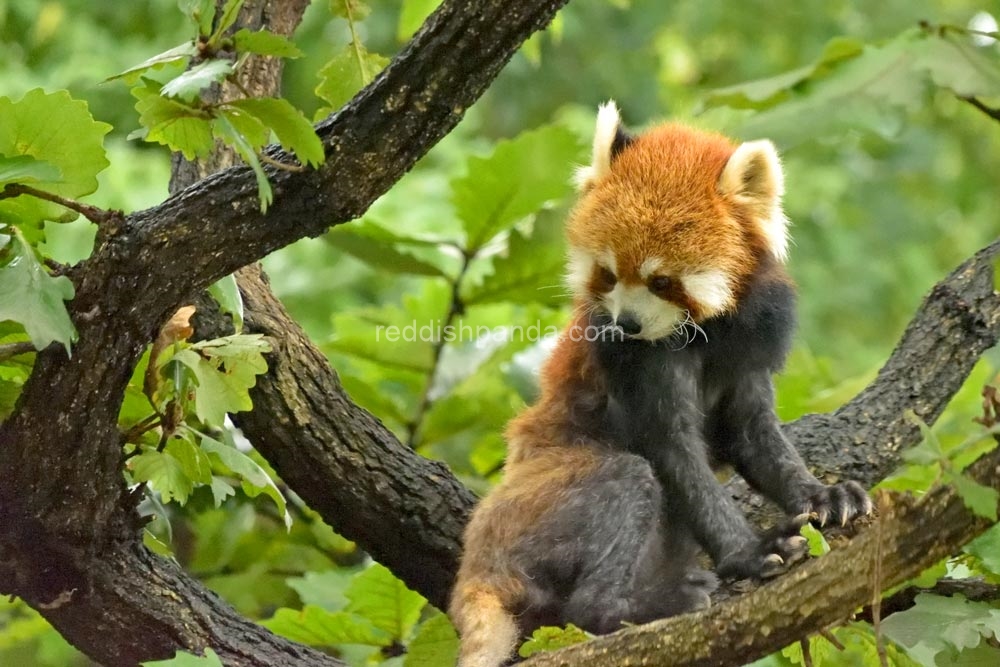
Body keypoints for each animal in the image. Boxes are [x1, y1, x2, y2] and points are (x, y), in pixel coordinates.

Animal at [450, 103, 872, 667]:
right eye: (607, 274)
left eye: (662, 281)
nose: (626, 323)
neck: (708, 331)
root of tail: (476, 566)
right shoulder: (635, 362)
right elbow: (673, 451)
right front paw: (753, 552)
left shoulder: (750, 345)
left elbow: (754, 435)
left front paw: (822, 495)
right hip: (537, 504)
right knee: (626, 484)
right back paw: (650, 604)